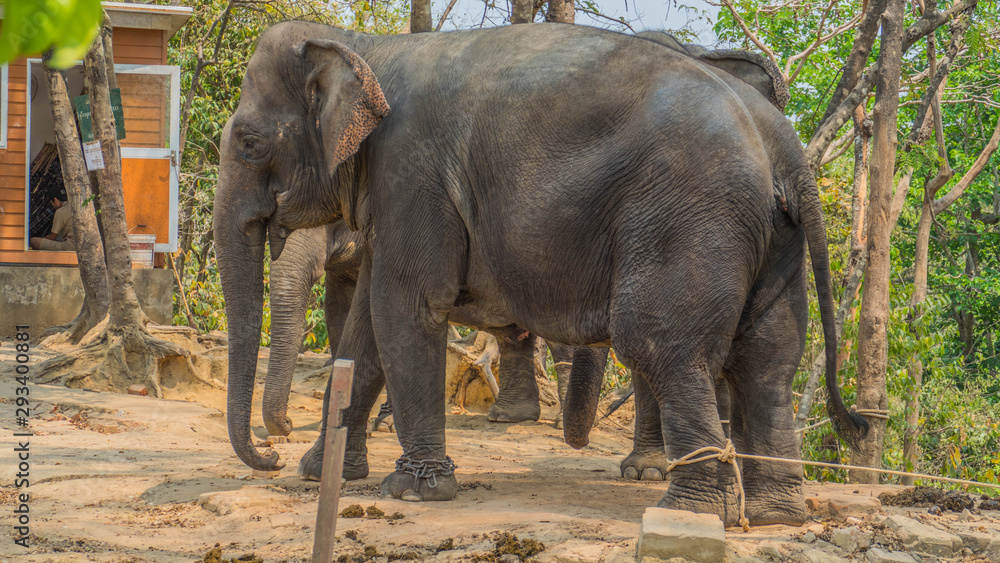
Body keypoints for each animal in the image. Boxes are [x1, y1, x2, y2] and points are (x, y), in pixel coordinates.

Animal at [214, 21, 868, 527]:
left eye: (247, 142)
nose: (271, 453)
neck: (364, 47)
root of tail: (785, 148)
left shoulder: (411, 169)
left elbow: (407, 307)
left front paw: (415, 491)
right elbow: (366, 331)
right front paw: (317, 473)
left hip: (690, 215)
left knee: (663, 344)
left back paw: (686, 510)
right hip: (775, 237)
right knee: (767, 358)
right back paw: (776, 515)